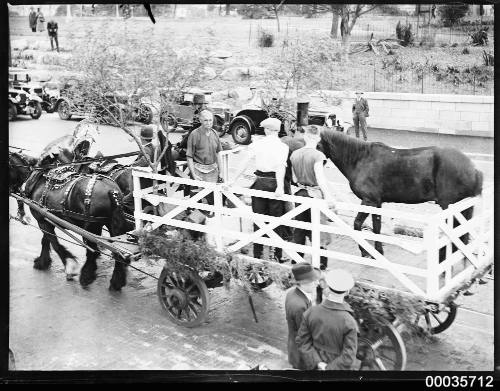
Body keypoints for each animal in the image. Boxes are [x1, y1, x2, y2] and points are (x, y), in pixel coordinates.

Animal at [10, 152, 131, 290]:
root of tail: (112, 191)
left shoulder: (42, 220)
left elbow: (54, 243)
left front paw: (69, 266)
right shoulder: (46, 218)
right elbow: (46, 240)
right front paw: (43, 262)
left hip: (91, 226)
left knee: (93, 251)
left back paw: (86, 277)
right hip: (112, 224)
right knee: (118, 251)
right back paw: (116, 281)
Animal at [294, 129, 482, 258]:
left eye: (317, 145)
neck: (361, 159)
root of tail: (472, 168)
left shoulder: (369, 201)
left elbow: (357, 224)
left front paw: (366, 252)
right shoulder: (376, 202)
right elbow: (376, 227)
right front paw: (378, 251)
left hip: (450, 206)